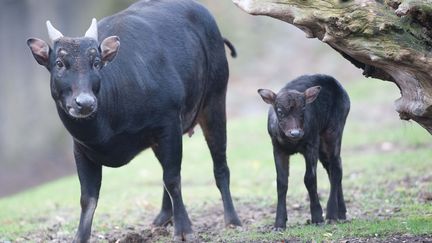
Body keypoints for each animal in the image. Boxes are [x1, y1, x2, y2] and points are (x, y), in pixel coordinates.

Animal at [26, 0, 241, 241]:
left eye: (96, 63)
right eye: (60, 63)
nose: (85, 103)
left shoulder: (168, 125)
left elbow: (173, 179)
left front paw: (184, 230)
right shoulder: (81, 149)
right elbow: (87, 198)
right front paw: (80, 237)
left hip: (215, 100)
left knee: (219, 164)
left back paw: (232, 219)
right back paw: (163, 217)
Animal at [258, 74, 350, 230]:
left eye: (303, 110)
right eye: (280, 111)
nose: (295, 133)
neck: (293, 143)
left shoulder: (311, 144)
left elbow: (310, 178)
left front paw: (317, 218)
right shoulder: (277, 148)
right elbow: (281, 182)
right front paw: (279, 224)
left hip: (334, 130)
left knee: (336, 167)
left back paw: (331, 215)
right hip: (322, 146)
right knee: (333, 168)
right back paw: (342, 213)